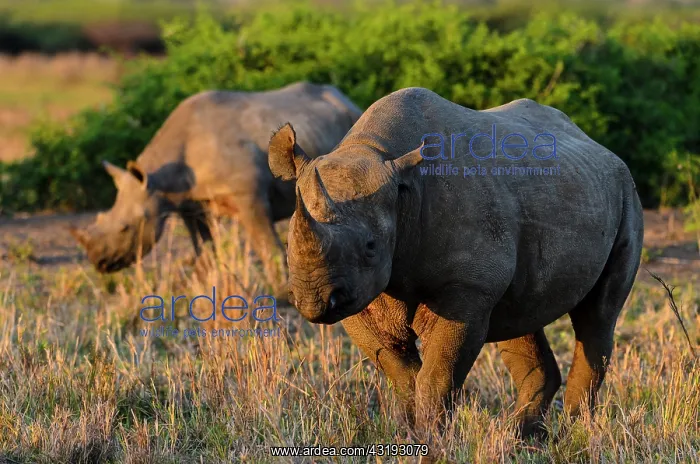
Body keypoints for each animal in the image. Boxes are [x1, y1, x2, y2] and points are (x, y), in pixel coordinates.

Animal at [69, 81, 362, 298]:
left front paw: (280, 294)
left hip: (352, 122)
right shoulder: (190, 204)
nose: (99, 262)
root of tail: (346, 98)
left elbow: (267, 246)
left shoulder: (249, 196)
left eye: (126, 228)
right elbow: (205, 248)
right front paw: (203, 285)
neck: (158, 180)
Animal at [268, 87, 644, 442]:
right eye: (287, 244)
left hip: (626, 194)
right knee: (519, 316)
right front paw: (412, 435)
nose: (313, 300)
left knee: (597, 317)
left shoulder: (467, 287)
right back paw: (522, 437)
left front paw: (433, 440)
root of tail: (600, 147)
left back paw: (576, 434)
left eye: (371, 247)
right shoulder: (359, 293)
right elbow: (402, 374)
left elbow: (438, 375)